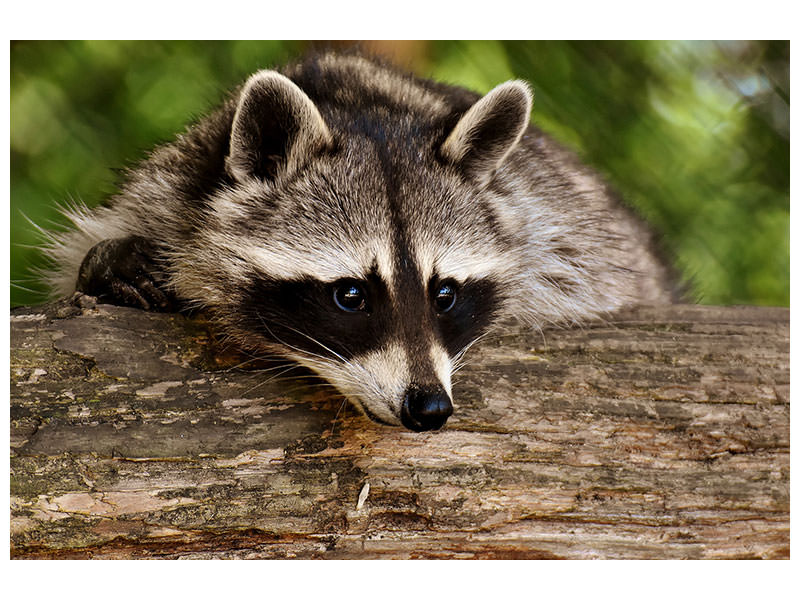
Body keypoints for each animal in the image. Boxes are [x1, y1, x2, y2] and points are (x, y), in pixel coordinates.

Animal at [41, 52, 674, 431]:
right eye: (351, 295)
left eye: (444, 294)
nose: (429, 408)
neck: (361, 106)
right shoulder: (167, 188)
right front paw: (110, 264)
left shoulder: (558, 225)